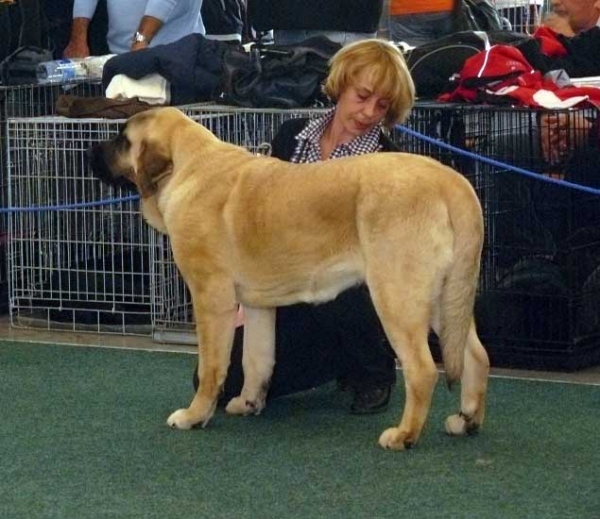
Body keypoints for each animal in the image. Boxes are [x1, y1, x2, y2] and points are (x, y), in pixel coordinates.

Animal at [90, 106, 492, 450]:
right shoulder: (256, 306)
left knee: (422, 369)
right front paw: (248, 403)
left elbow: (211, 368)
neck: (188, 168)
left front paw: (195, 415)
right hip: (444, 299)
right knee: (476, 354)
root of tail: (450, 180)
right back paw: (466, 420)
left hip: (397, 296)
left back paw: (404, 435)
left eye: (123, 139)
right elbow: (256, 360)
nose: (92, 151)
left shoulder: (211, 299)